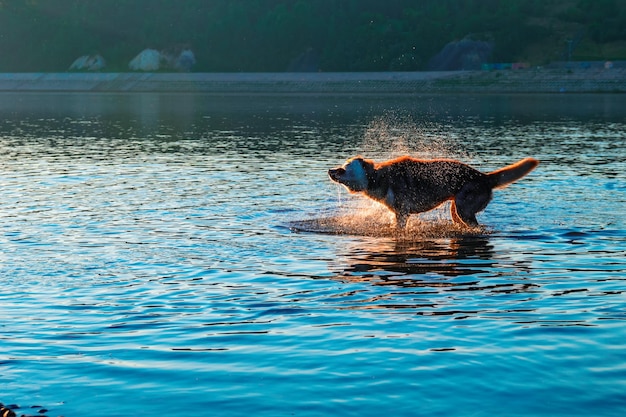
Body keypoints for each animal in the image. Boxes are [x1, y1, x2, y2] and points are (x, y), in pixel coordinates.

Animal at [326, 155, 536, 229]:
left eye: (343, 168)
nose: (329, 170)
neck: (376, 178)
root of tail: (484, 176)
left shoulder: (402, 213)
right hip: (456, 210)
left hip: (464, 209)